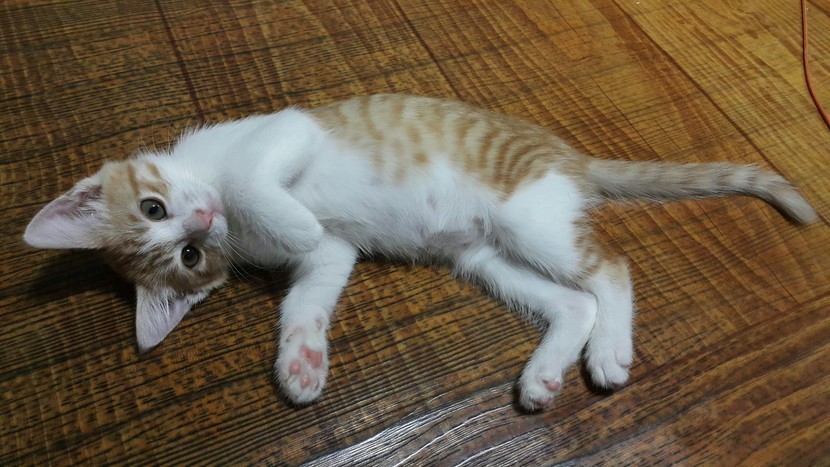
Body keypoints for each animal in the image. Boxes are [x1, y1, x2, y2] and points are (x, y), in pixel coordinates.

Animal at [24, 94, 817, 411]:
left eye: (157, 210)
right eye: (188, 256)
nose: (204, 217)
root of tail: (565, 154)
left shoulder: (282, 132)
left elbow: (264, 188)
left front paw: (282, 218)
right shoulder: (335, 253)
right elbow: (308, 292)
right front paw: (301, 361)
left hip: (527, 216)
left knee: (612, 269)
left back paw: (610, 352)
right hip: (486, 254)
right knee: (573, 299)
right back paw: (544, 374)